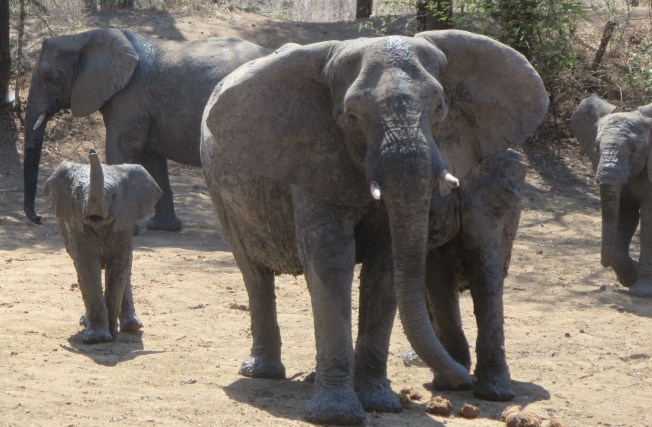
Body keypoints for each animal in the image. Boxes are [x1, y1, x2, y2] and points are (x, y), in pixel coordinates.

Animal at [24, 28, 270, 231]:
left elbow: (120, 148)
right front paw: (163, 228)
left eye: (49, 78)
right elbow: (152, 159)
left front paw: (121, 228)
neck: (84, 36)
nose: (39, 219)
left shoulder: (131, 95)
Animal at [44, 149, 162, 344]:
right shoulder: (76, 226)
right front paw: (98, 338)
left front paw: (111, 333)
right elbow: (87, 267)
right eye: (76, 195)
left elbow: (119, 266)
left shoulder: (124, 222)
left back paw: (132, 326)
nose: (92, 151)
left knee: (126, 270)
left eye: (114, 196)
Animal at [201, 30, 548, 425]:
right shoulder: (314, 154)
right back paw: (263, 373)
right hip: (217, 188)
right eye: (351, 116)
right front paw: (336, 414)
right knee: (254, 273)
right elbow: (331, 257)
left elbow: (386, 262)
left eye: (440, 107)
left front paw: (380, 403)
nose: (460, 380)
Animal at [570, 94, 652, 298]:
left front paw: (641, 292)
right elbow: (625, 216)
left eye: (634, 149)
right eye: (597, 148)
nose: (603, 265)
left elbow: (649, 219)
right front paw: (630, 277)